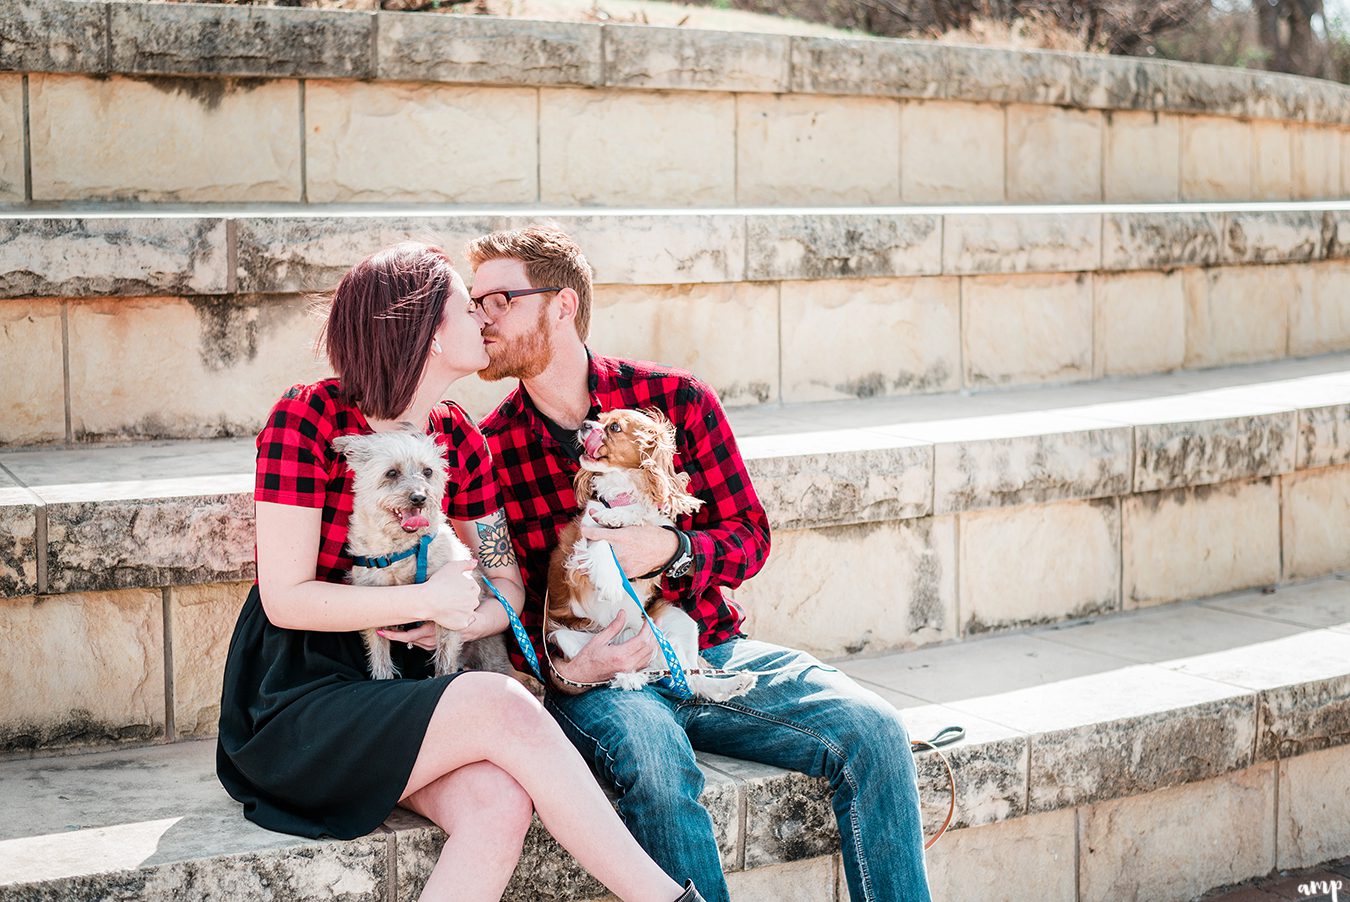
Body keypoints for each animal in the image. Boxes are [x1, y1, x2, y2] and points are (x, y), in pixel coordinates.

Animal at [548, 407, 761, 702]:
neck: (623, 490)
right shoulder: (578, 545)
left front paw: (620, 516)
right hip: (568, 638)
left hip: (679, 621)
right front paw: (611, 581)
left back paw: (733, 684)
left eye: (614, 427)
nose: (584, 425)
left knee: (691, 680)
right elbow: (601, 541)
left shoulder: (657, 530)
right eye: (599, 419)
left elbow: (642, 518)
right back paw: (631, 677)